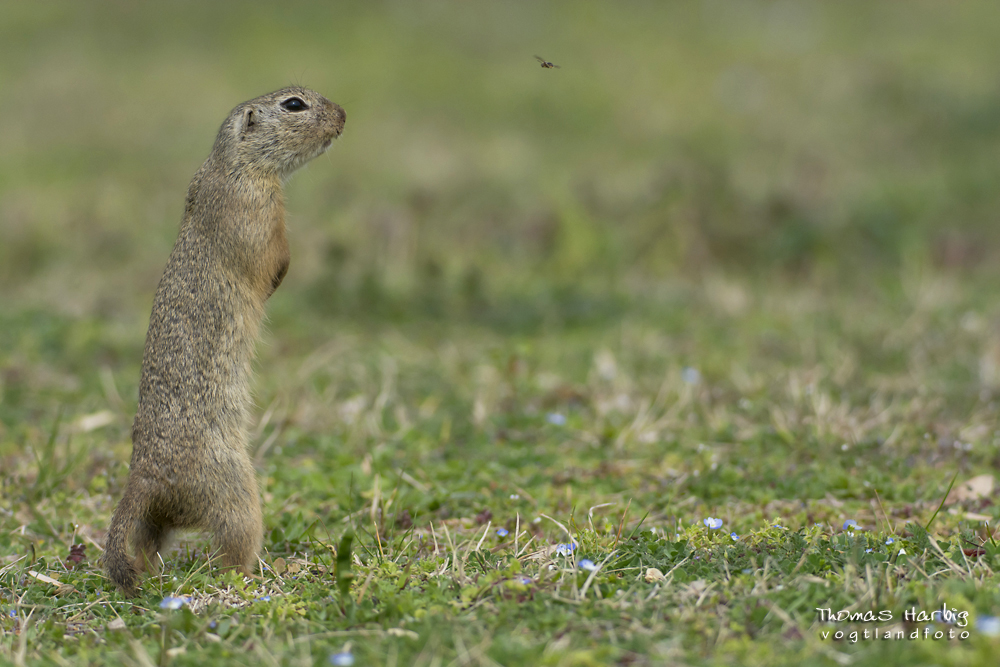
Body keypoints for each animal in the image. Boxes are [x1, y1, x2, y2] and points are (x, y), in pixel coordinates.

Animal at [104, 85, 348, 596]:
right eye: (294, 104)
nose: (343, 115)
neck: (232, 165)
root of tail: (141, 479)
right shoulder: (257, 210)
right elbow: (273, 257)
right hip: (235, 492)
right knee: (232, 555)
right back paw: (274, 569)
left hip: (158, 520)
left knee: (148, 545)